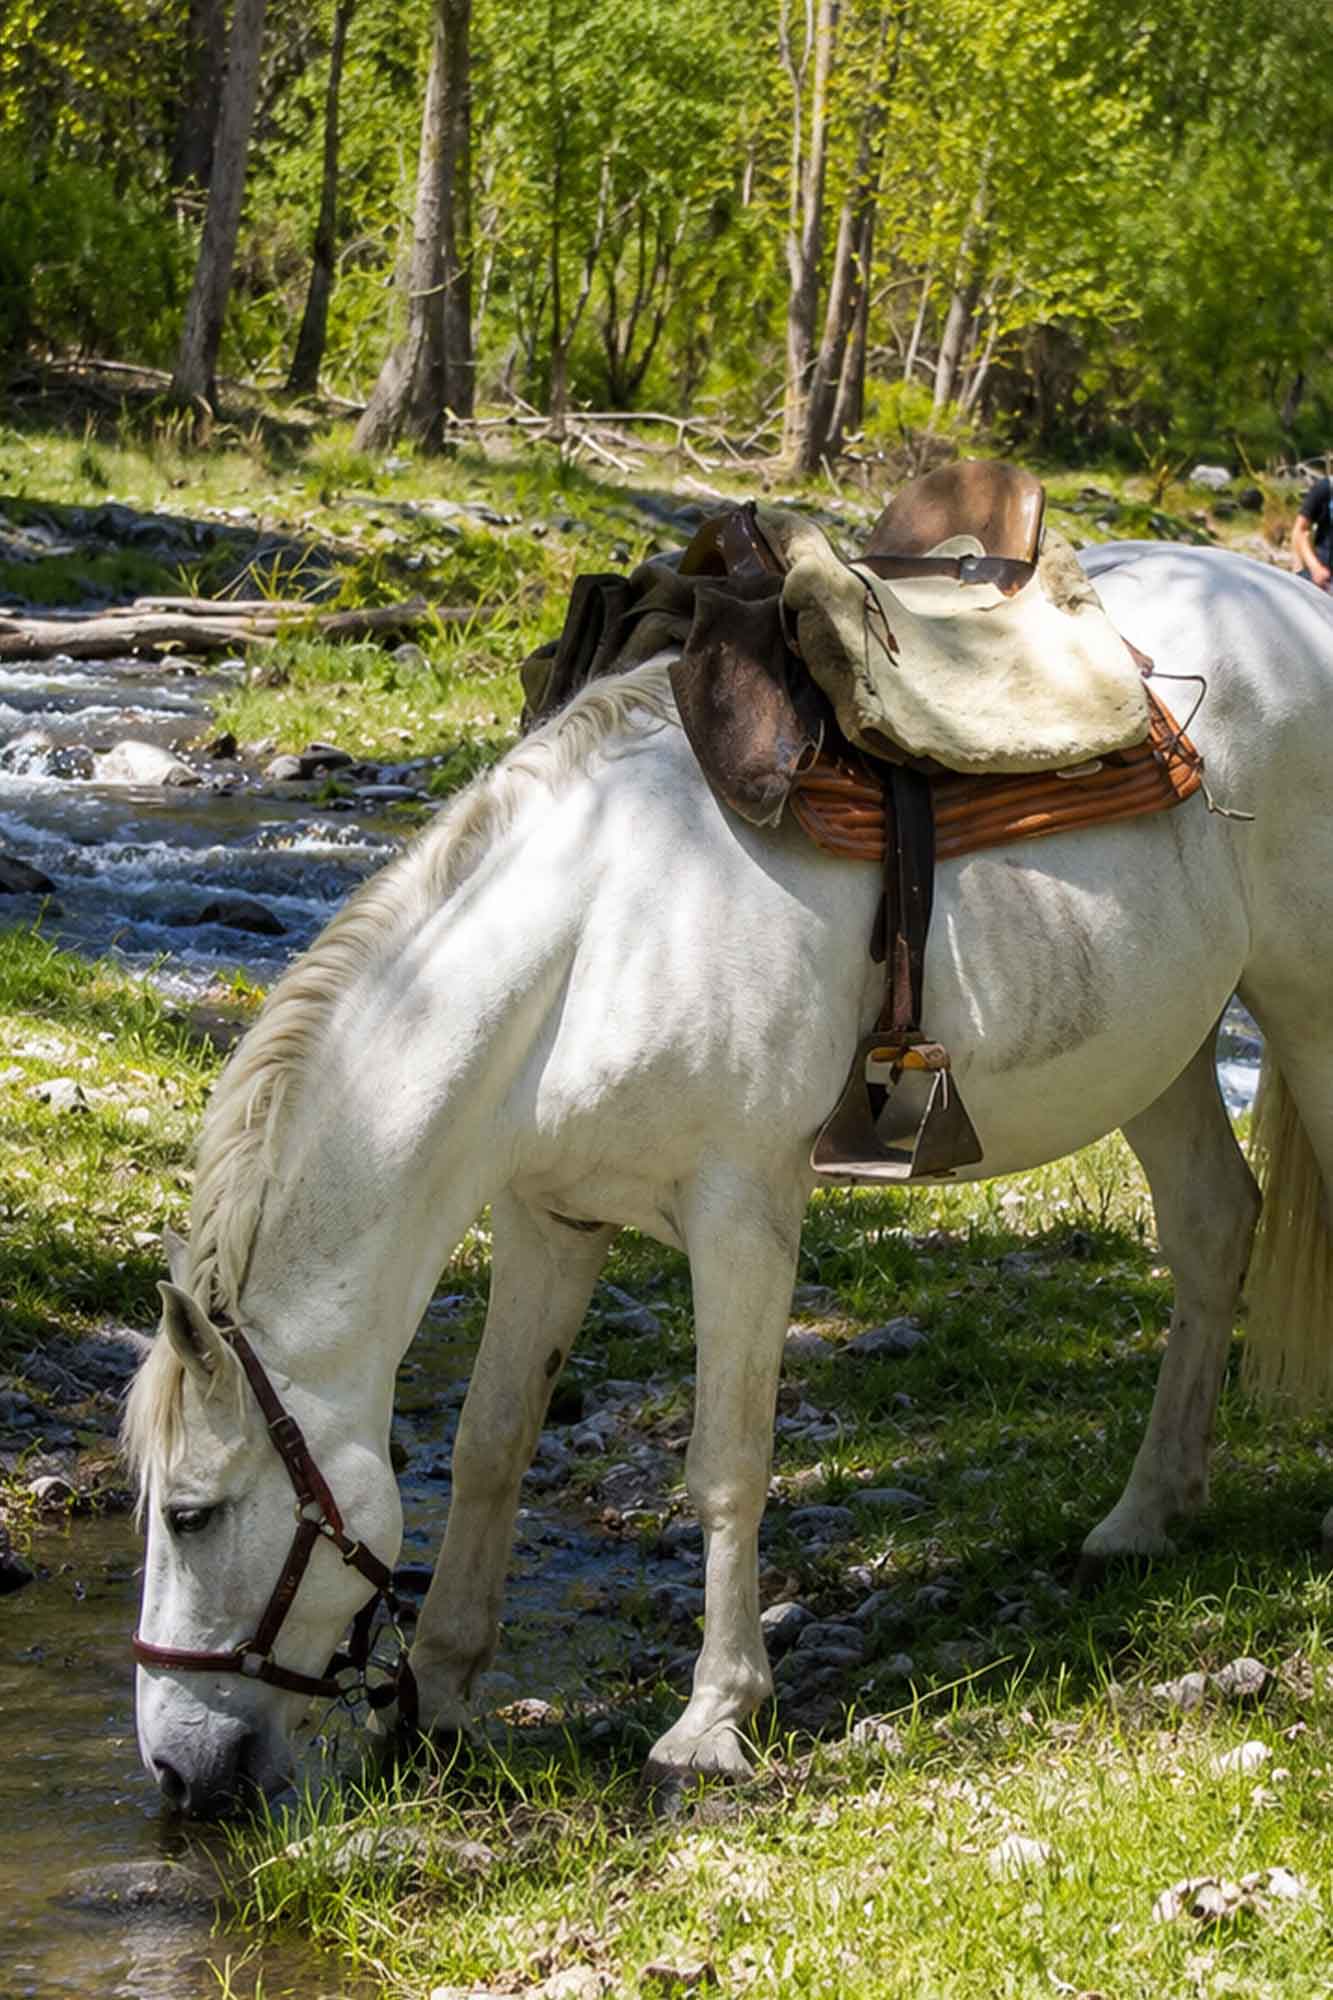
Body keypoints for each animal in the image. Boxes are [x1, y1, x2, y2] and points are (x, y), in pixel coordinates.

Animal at [123, 541, 1333, 1817]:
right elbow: (493, 1440)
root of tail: (1289, 606)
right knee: (1213, 1226)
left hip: (1305, 1005)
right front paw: (437, 1694)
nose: (177, 1769)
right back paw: (1144, 1515)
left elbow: (726, 1464)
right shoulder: (550, 1216)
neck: (594, 934)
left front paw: (712, 1717)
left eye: (194, 1514)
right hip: (1162, 1045)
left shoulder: (741, 1210)